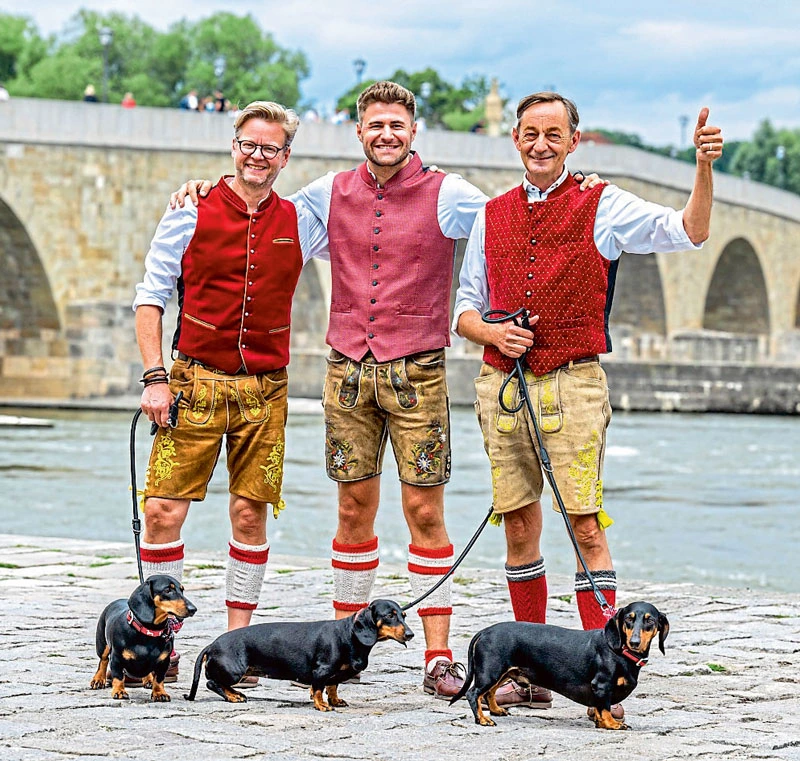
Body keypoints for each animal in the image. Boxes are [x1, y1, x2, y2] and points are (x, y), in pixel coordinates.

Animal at [184, 599, 413, 710]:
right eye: (390, 615)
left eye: (403, 615)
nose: (410, 634)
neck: (349, 635)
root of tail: (212, 645)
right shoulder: (321, 671)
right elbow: (319, 689)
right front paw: (322, 705)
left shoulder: (334, 675)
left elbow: (332, 687)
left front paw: (335, 701)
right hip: (234, 671)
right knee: (212, 683)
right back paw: (233, 697)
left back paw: (236, 694)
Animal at [450, 601, 669, 729]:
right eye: (628, 620)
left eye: (649, 621)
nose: (634, 642)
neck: (619, 651)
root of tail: (484, 631)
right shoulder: (602, 685)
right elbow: (605, 707)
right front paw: (611, 724)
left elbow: (599, 708)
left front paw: (600, 722)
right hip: (491, 672)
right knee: (473, 693)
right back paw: (482, 719)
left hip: (502, 673)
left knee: (489, 693)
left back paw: (496, 710)